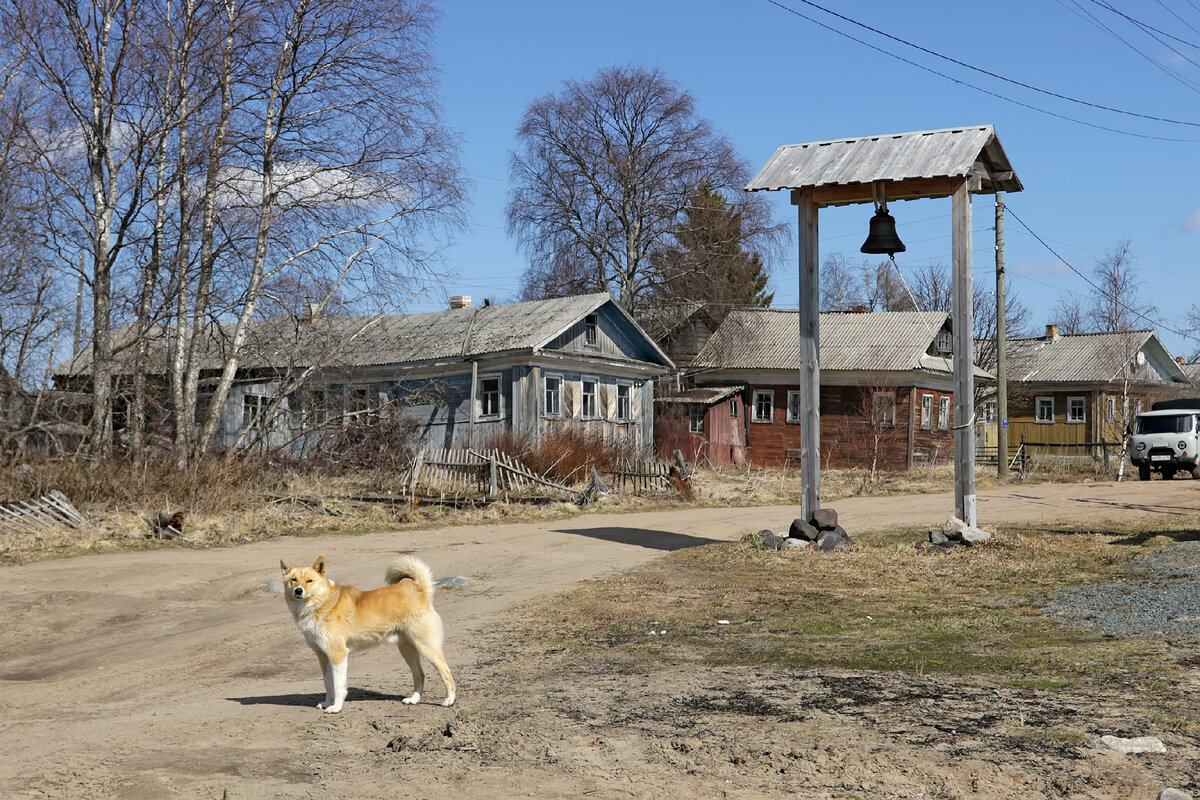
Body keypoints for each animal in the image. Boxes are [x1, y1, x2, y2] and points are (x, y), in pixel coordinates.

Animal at [278, 554, 456, 714]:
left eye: (309, 581)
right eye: (294, 580)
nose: (298, 591)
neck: (323, 604)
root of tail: (420, 590)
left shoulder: (338, 655)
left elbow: (338, 685)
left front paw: (336, 707)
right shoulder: (323, 657)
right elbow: (328, 684)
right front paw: (328, 703)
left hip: (426, 647)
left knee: (446, 672)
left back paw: (449, 700)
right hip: (407, 650)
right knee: (419, 674)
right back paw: (414, 699)